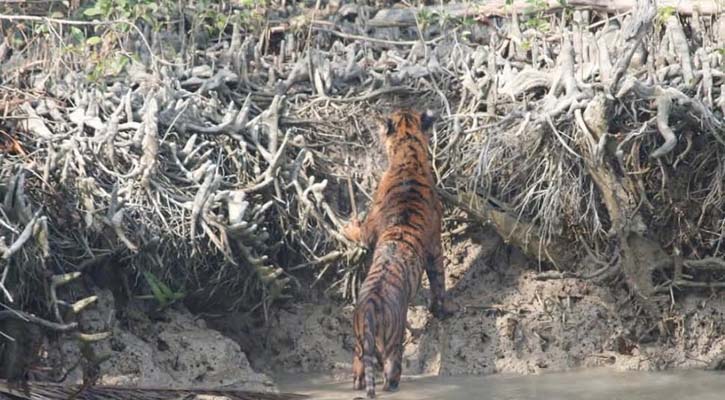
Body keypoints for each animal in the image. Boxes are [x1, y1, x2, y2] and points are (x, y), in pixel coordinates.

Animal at [340, 108, 456, 396]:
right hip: (390, 339)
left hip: (362, 340)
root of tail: (371, 304)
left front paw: (345, 226)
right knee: (388, 368)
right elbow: (439, 281)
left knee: (364, 367)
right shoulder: (435, 245)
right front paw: (442, 308)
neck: (408, 153)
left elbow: (359, 231)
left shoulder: (372, 225)